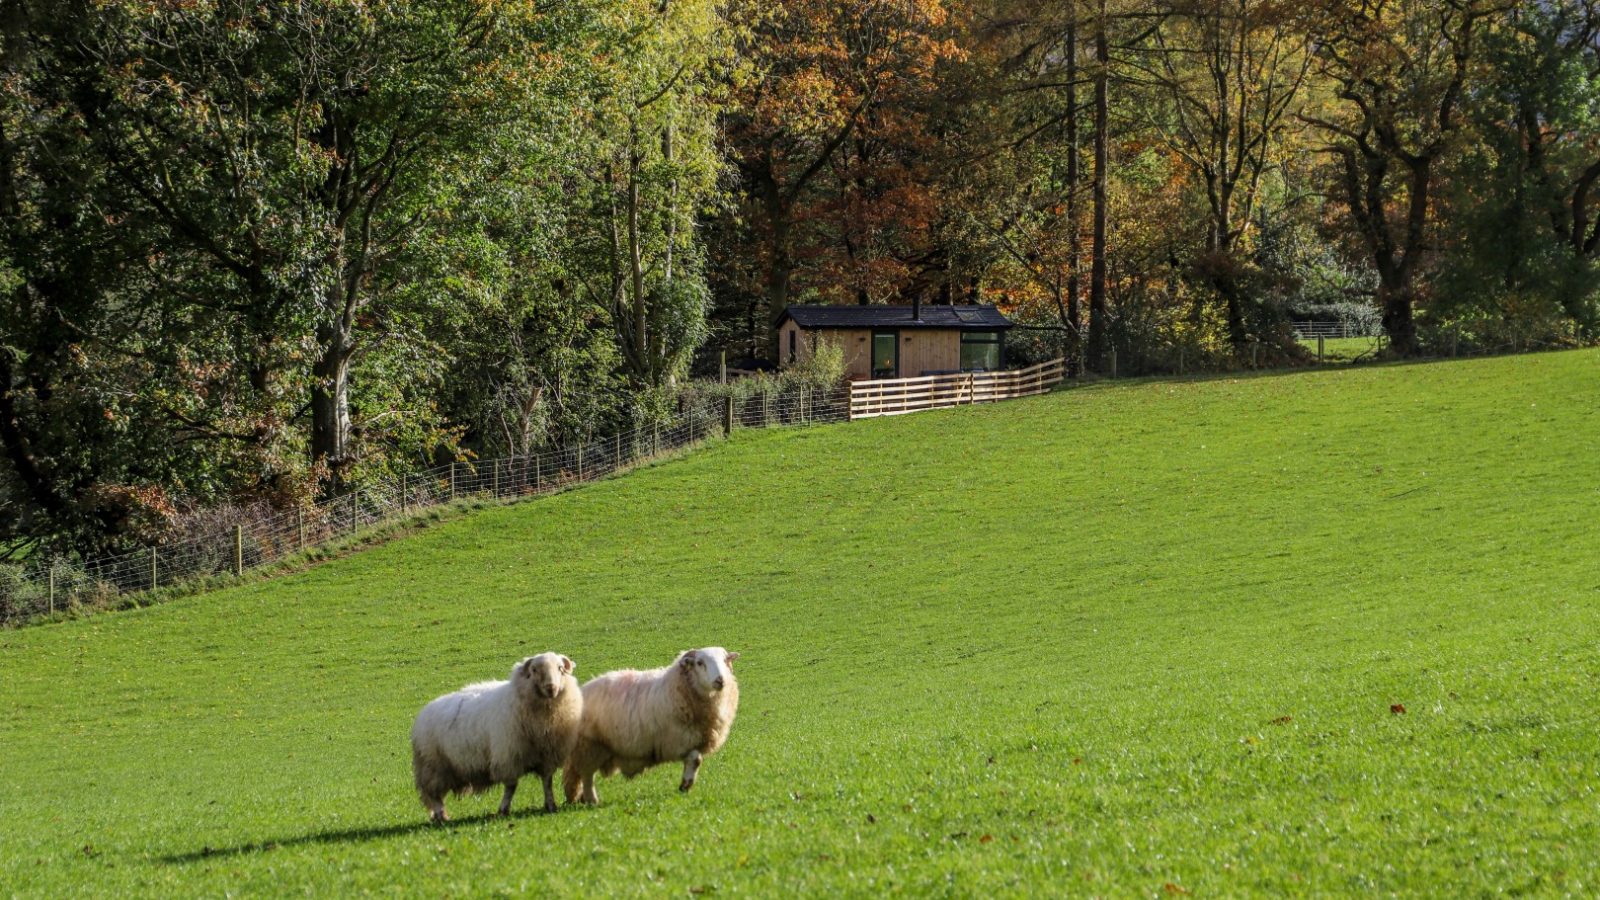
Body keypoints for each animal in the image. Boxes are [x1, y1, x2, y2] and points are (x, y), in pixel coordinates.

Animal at [412, 650, 582, 819]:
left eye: (560, 668)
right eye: (534, 670)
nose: (551, 688)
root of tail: (423, 713)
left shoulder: (547, 757)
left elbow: (547, 783)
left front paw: (551, 806)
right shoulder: (508, 756)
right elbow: (511, 786)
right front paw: (503, 810)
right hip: (432, 766)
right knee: (434, 795)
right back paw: (441, 816)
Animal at [563, 640, 742, 800]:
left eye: (725, 661)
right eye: (699, 663)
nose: (720, 680)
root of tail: (582, 691)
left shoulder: (694, 739)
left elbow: (696, 760)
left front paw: (686, 785)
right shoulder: (677, 741)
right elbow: (694, 758)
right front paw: (685, 785)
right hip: (589, 746)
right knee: (587, 776)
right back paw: (592, 800)